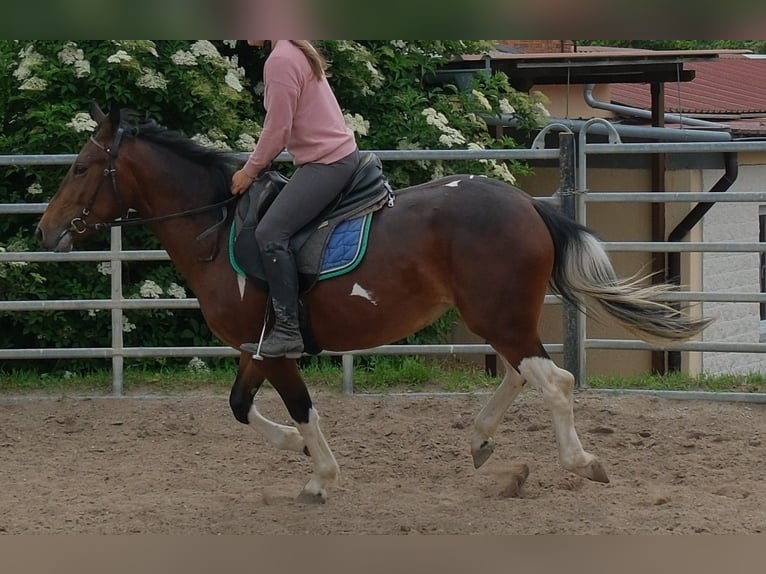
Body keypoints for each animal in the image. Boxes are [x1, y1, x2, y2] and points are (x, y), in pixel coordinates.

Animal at [36, 103, 709, 503]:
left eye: (82, 167)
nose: (45, 231)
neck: (219, 229)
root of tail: (527, 204)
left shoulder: (276, 350)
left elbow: (302, 409)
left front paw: (317, 474)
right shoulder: (256, 348)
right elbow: (239, 407)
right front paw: (295, 453)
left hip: (496, 314)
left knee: (554, 379)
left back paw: (579, 461)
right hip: (495, 316)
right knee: (524, 373)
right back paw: (482, 444)